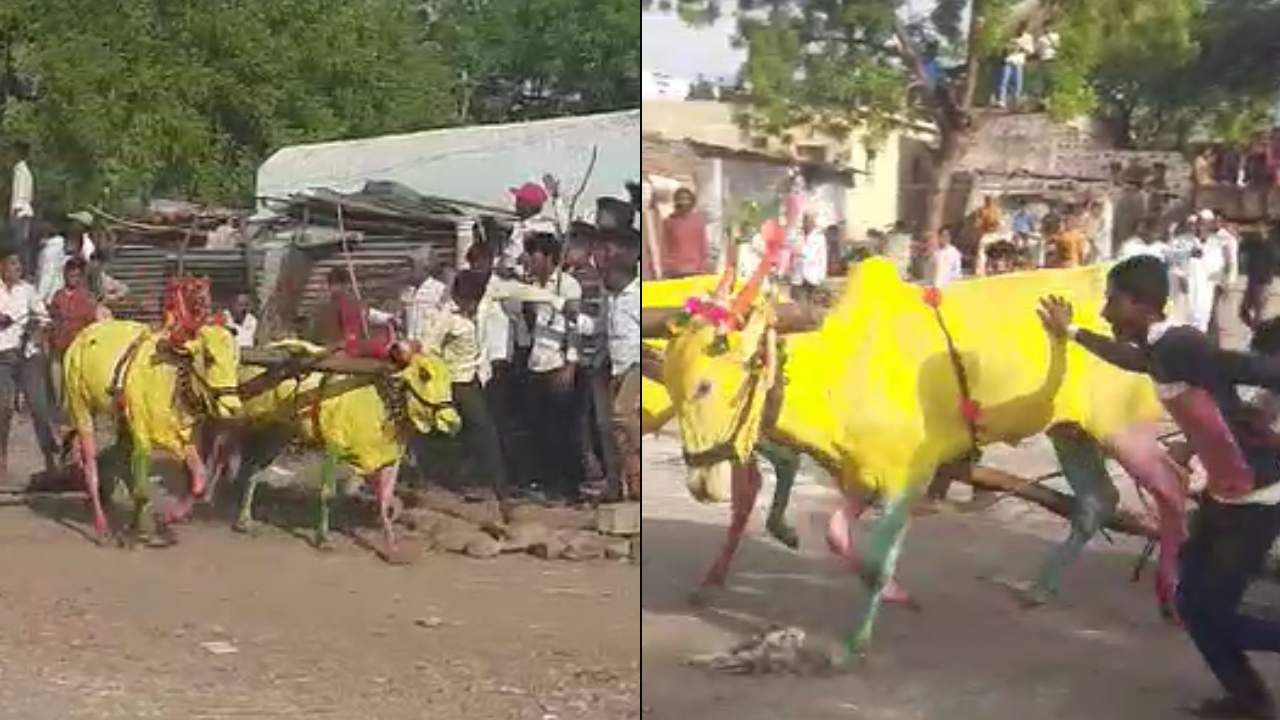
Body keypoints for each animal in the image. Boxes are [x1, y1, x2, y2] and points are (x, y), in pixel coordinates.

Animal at [63, 319, 244, 543]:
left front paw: (166, 519)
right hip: (81, 408)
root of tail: (83, 335)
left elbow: (199, 478)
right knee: (90, 466)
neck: (172, 378)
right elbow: (142, 487)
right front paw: (135, 532)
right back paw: (102, 526)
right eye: (210, 357)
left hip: (121, 420)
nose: (233, 408)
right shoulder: (143, 436)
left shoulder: (180, 439)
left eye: (236, 359)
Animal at [222, 340, 463, 561]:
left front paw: (392, 547)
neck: (382, 403)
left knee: (254, 469)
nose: (453, 423)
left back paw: (244, 520)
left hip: (279, 434)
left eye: (449, 377)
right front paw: (324, 539)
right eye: (424, 374)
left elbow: (386, 503)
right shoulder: (333, 447)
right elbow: (328, 494)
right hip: (249, 422)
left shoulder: (389, 460)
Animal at [665, 253, 1182, 661]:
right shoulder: (860, 478)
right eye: (669, 383)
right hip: (1071, 433)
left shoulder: (905, 480)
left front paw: (853, 646)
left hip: (1125, 432)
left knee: (1171, 489)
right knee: (1097, 500)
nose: (700, 483)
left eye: (705, 385)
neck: (837, 372)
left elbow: (875, 562)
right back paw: (1040, 589)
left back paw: (1169, 599)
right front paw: (897, 593)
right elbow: (838, 537)